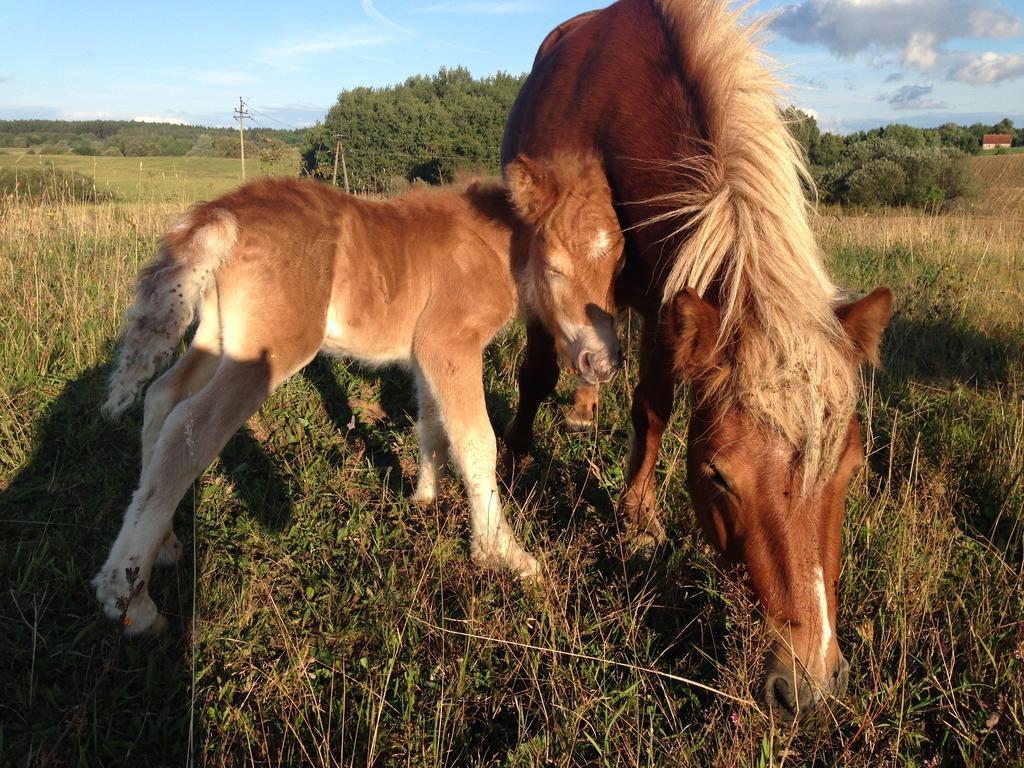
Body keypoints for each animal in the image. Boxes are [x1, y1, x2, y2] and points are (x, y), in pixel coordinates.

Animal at [97, 157, 622, 638]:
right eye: (555, 266)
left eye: (617, 266)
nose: (603, 361)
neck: (491, 247)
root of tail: (224, 211)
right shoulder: (449, 344)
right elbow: (476, 443)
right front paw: (504, 555)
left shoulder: (424, 353)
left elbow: (432, 426)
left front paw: (424, 500)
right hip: (267, 351)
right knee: (188, 430)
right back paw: (129, 600)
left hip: (217, 335)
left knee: (162, 399)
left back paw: (162, 546)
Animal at [499, 0, 892, 720]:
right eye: (717, 477)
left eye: (851, 471)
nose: (808, 684)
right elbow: (538, 371)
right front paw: (517, 459)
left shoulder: (668, 297)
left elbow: (652, 407)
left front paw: (638, 519)